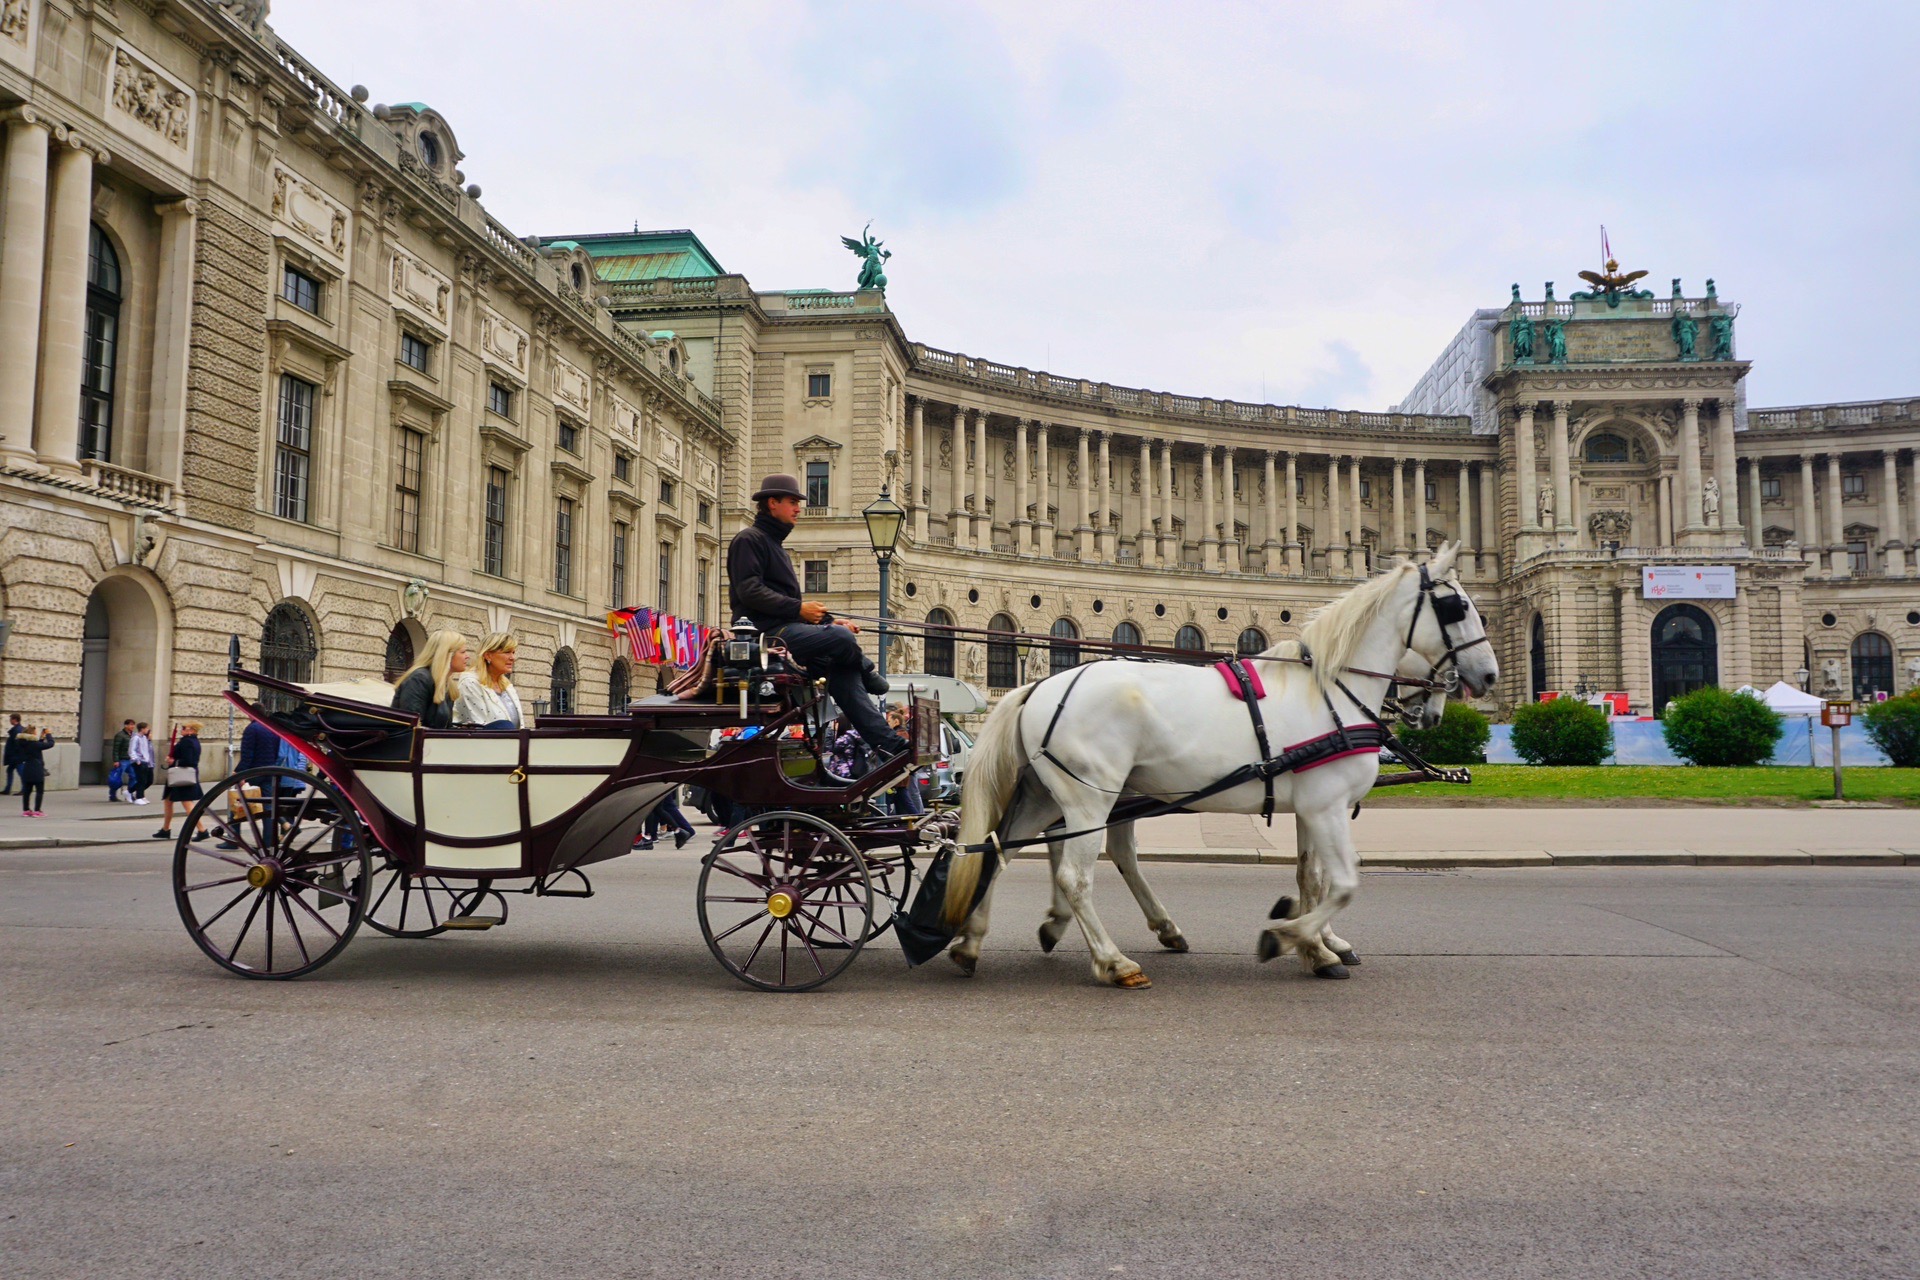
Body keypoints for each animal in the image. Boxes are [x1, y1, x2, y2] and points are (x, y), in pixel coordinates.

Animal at [944, 545, 1497, 990]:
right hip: (1089, 797)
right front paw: (1290, 937)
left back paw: (972, 943)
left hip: (1048, 794)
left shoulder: (1313, 806)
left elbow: (1311, 877)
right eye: (1458, 607)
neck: (1329, 692)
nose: (1487, 677)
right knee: (1074, 876)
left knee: (1001, 852)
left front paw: (1319, 945)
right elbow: (1342, 883)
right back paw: (1114, 962)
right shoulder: (1327, 806)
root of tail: (1039, 685)